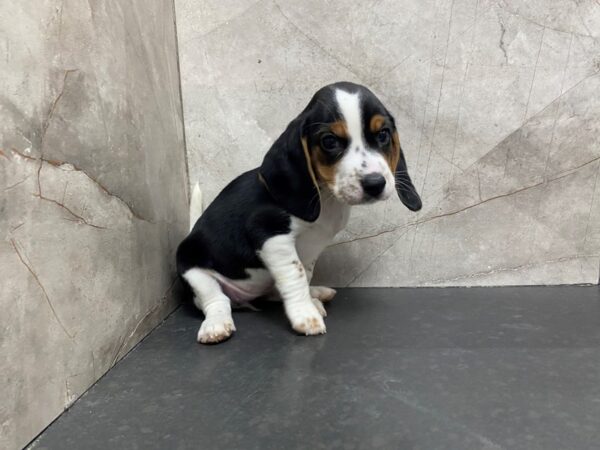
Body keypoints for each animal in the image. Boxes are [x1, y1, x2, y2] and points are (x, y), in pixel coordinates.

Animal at [177, 81, 422, 342]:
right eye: (329, 141)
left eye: (383, 135)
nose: (375, 183)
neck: (326, 198)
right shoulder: (270, 235)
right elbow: (294, 276)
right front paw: (305, 315)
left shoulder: (311, 249)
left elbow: (305, 273)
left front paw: (310, 299)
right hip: (193, 270)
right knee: (217, 300)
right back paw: (216, 325)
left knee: (270, 293)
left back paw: (317, 293)